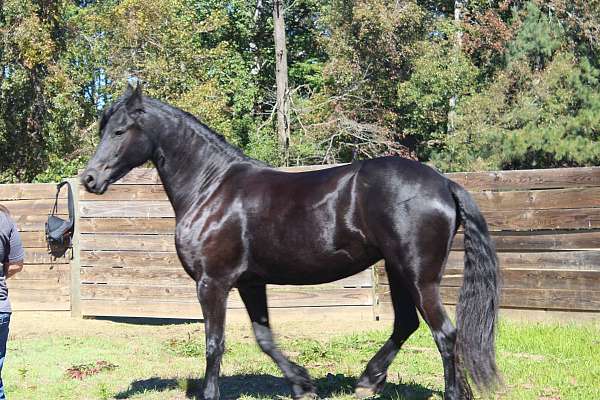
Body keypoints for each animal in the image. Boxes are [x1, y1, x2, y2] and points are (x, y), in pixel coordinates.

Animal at [81, 85, 502, 400]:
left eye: (120, 130)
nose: (89, 179)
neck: (211, 188)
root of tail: (443, 183)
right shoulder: (250, 283)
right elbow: (264, 338)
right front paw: (303, 384)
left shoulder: (212, 282)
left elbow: (214, 343)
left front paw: (211, 393)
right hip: (398, 270)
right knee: (406, 324)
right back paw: (367, 380)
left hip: (417, 276)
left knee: (445, 334)